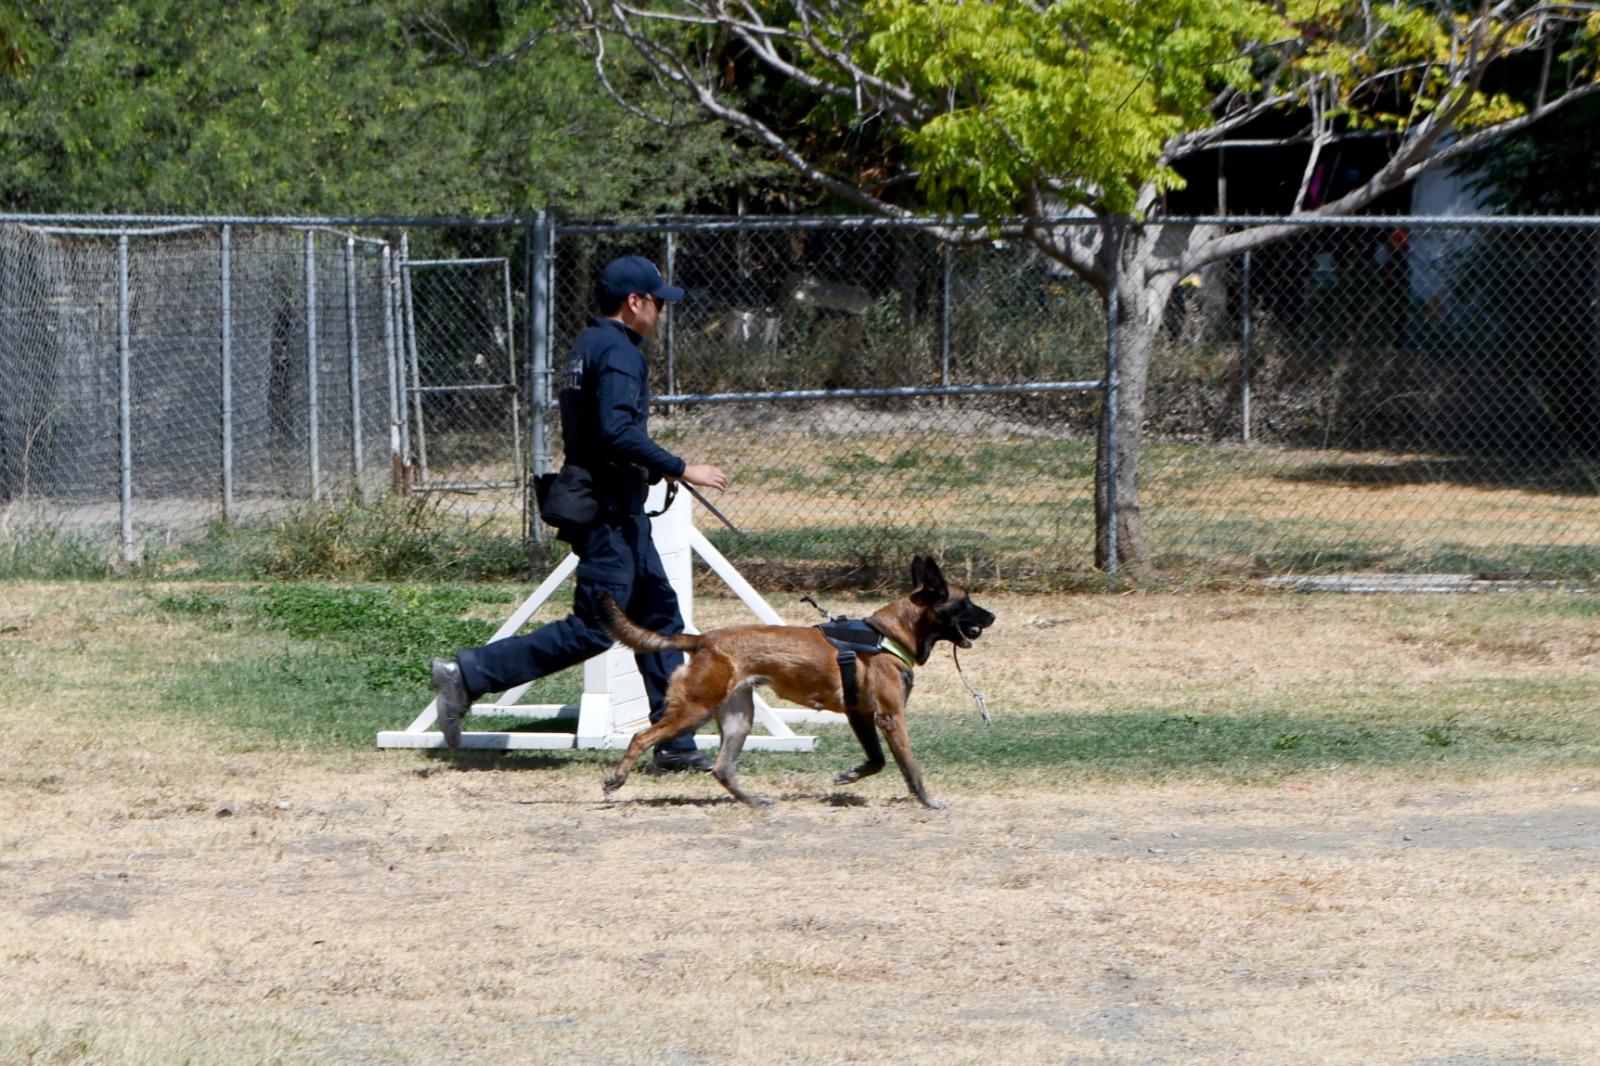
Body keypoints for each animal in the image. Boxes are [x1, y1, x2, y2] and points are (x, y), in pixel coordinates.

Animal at [601, 557, 992, 806]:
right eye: (967, 600)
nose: (992, 615)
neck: (888, 635)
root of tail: (703, 640)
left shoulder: (861, 715)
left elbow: (877, 759)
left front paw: (850, 775)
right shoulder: (890, 717)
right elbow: (910, 767)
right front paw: (928, 802)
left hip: (738, 719)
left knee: (724, 769)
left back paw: (753, 801)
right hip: (695, 709)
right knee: (641, 736)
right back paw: (616, 779)